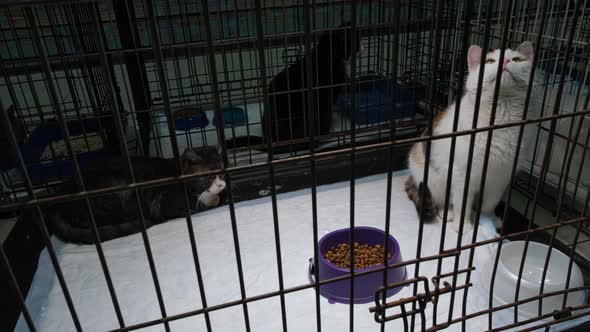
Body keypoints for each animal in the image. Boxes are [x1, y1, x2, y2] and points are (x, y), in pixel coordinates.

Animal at [21, 146, 227, 244]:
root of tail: (56, 204)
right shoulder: (167, 202)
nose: (221, 184)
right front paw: (213, 199)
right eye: (209, 176)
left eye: (222, 172)